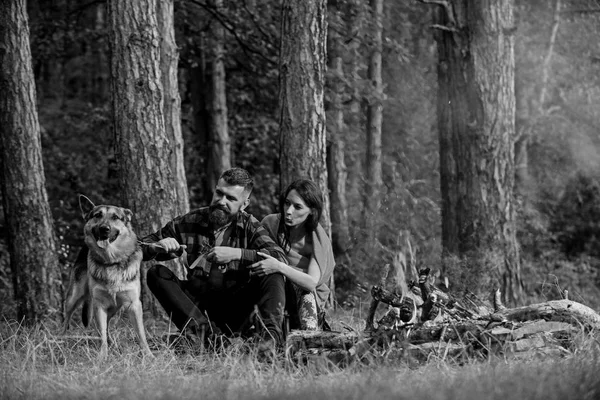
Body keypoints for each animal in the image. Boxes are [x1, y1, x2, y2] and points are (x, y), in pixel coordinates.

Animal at [62, 197, 152, 360]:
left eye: (115, 217)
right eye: (98, 215)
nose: (104, 229)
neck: (112, 260)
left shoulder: (134, 305)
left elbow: (141, 335)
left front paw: (149, 356)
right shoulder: (99, 305)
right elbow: (101, 335)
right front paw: (102, 357)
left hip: (114, 307)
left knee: (106, 326)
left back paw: (113, 345)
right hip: (74, 297)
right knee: (67, 320)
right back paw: (59, 341)